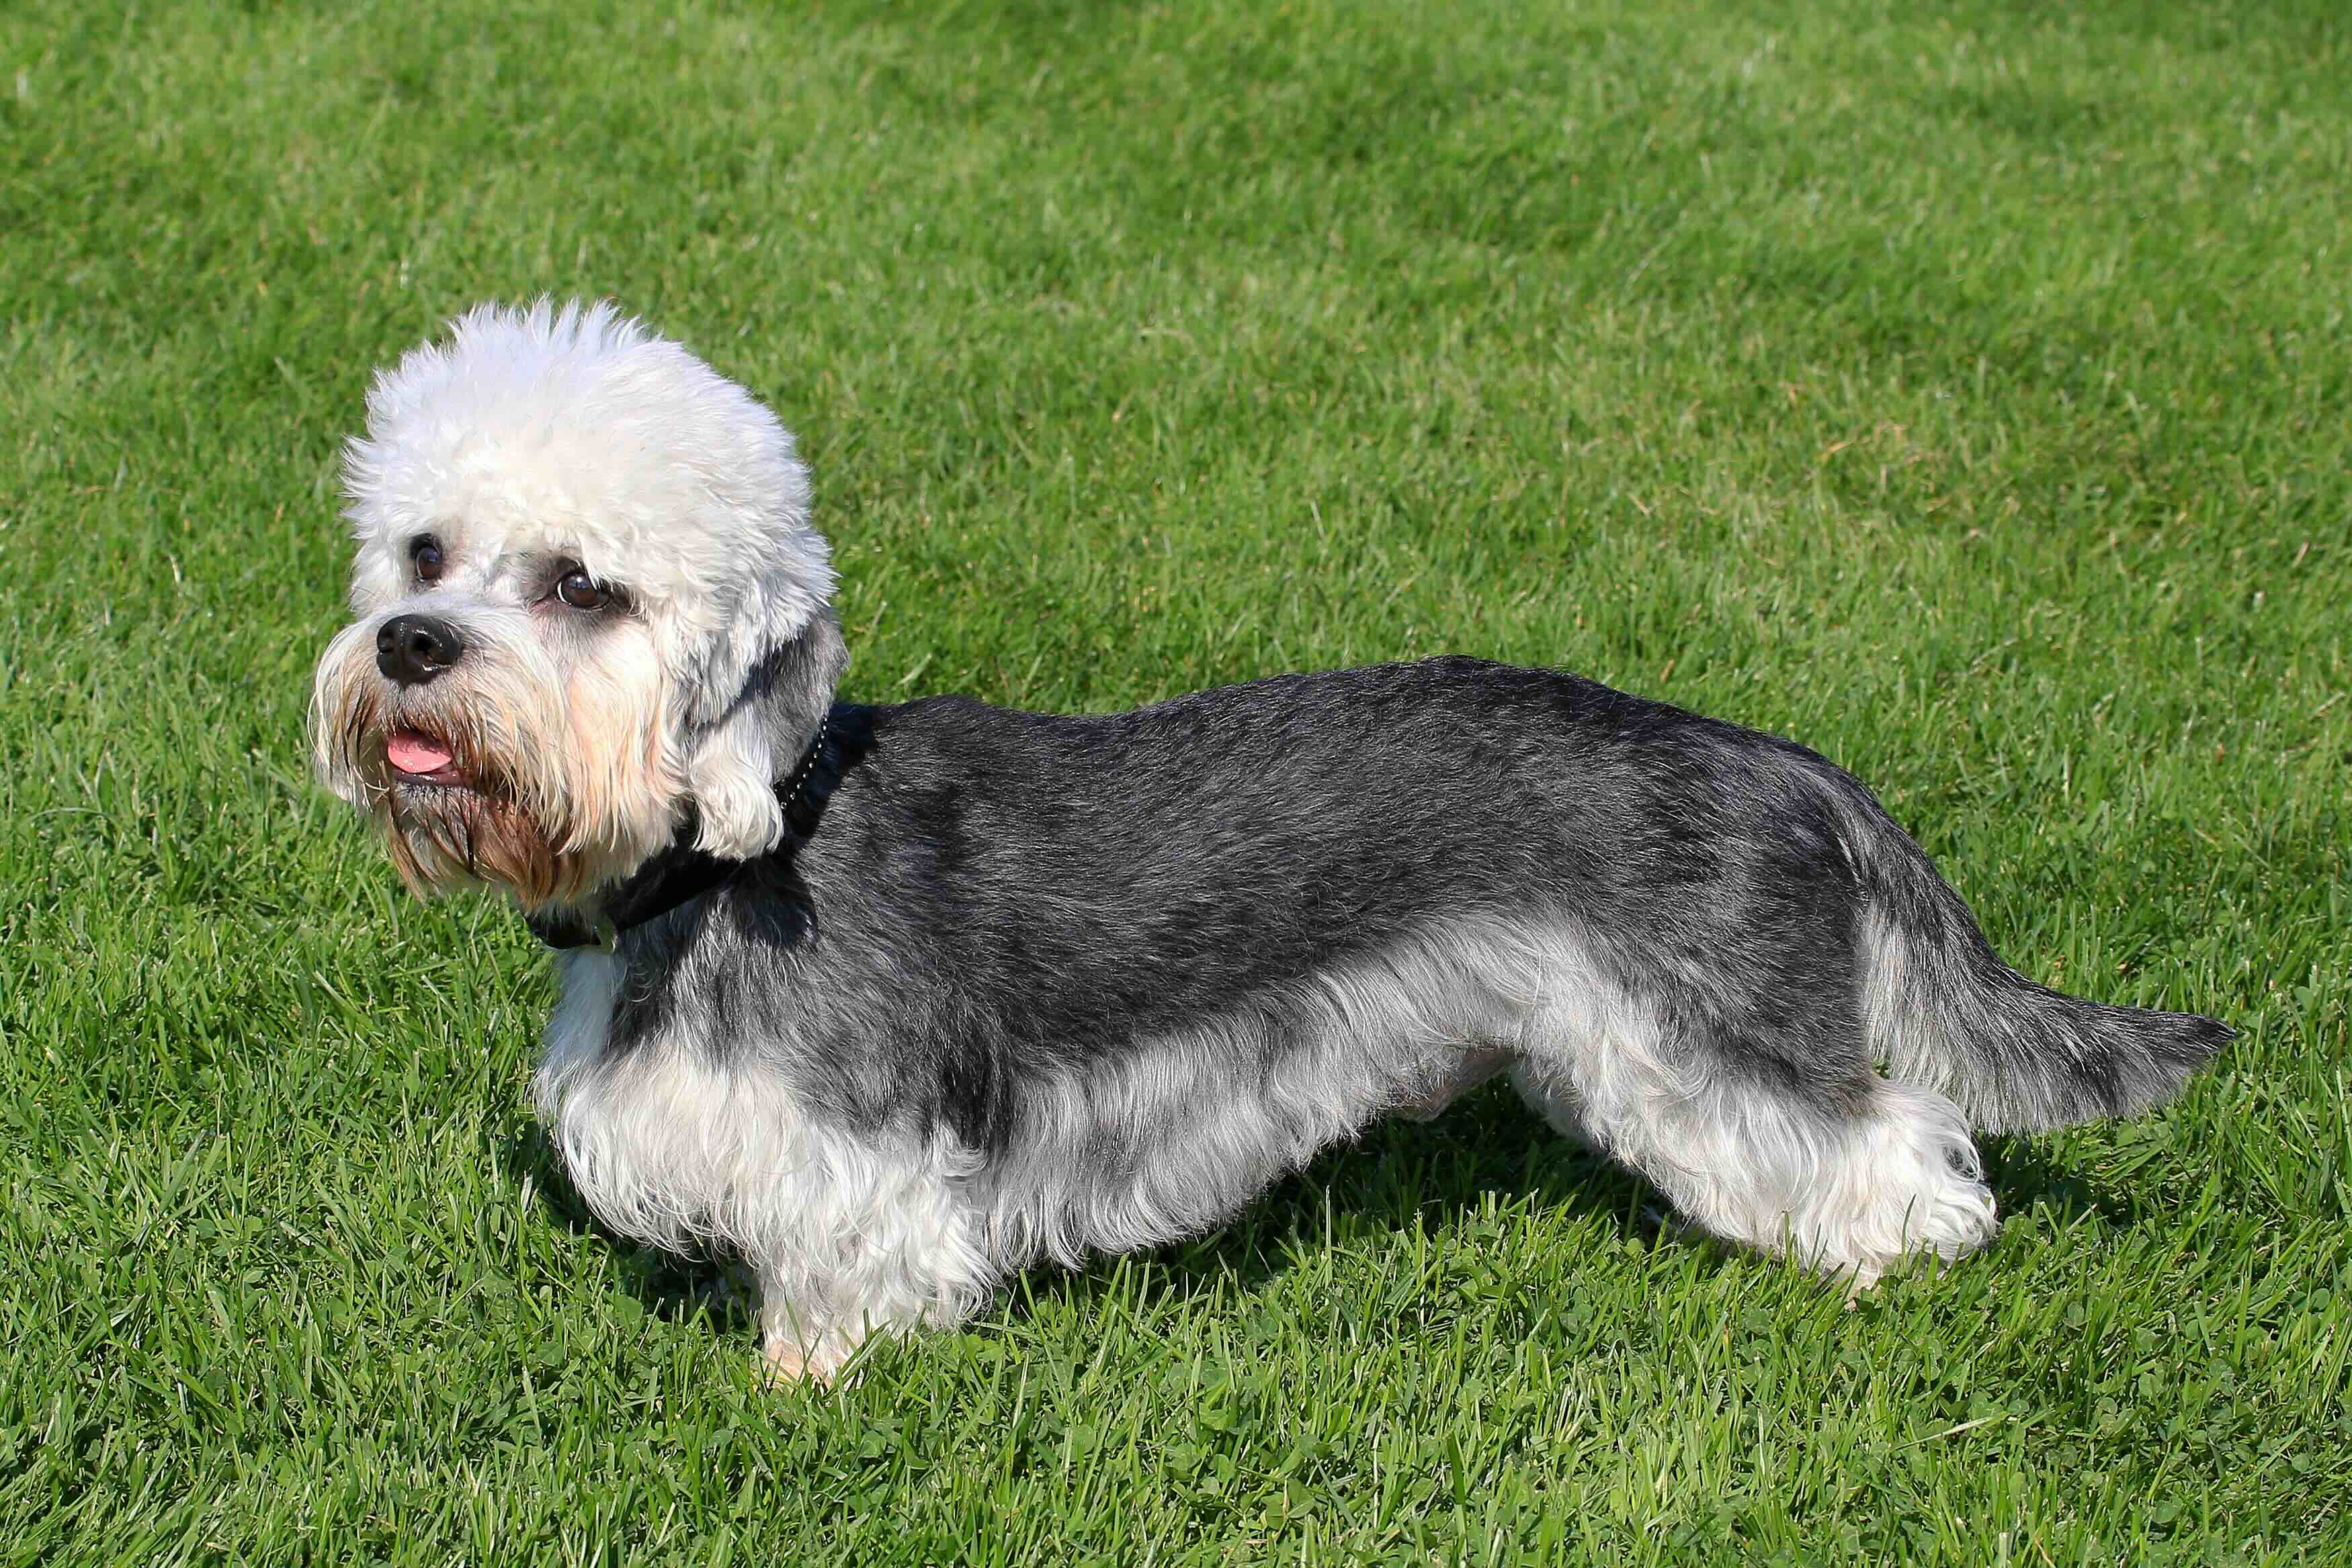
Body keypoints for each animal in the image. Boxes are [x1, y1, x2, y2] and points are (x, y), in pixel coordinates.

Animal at [308, 300, 2220, 1382]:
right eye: (424, 553)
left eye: (584, 586)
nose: (410, 649)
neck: (737, 856)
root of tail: (1787, 764)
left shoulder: (857, 1169)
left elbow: (843, 1289)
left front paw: (797, 1390)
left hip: (1714, 1046)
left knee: (1898, 1143)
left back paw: (1892, 1264)